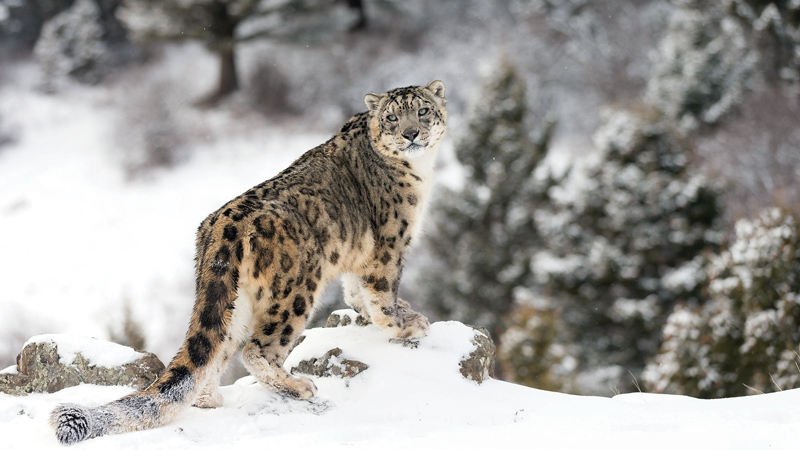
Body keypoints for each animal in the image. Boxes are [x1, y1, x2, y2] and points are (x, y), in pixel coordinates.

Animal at [50, 80, 446, 442]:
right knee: (257, 349)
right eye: (393, 117)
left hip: (232, 301)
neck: (420, 172)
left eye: (423, 110)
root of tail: (220, 227)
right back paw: (299, 386)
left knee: (216, 351)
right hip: (296, 290)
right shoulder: (389, 245)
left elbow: (355, 292)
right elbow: (382, 294)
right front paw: (406, 325)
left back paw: (211, 399)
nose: (411, 133)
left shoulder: (358, 256)